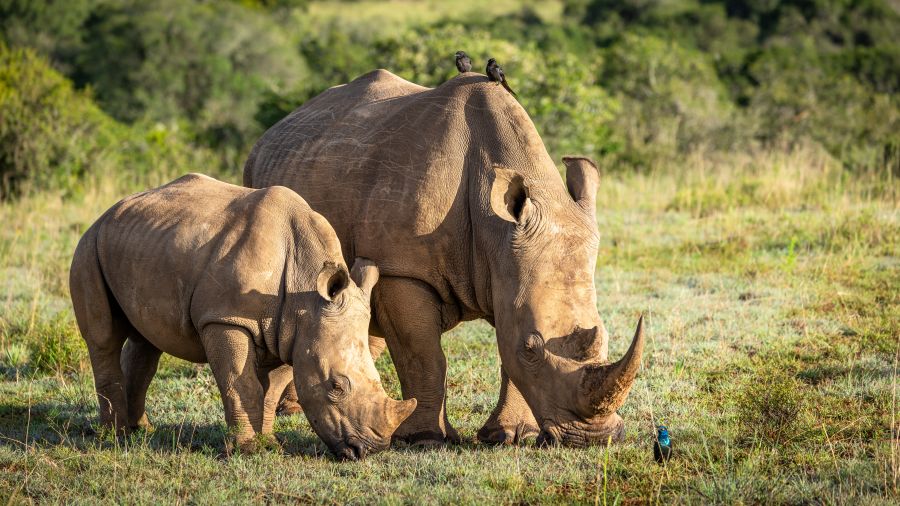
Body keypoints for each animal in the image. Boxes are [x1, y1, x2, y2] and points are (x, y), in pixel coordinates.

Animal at [69, 174, 416, 459]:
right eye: (336, 386)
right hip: (89, 245)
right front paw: (247, 449)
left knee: (146, 341)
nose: (370, 449)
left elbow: (271, 389)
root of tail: (110, 211)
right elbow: (240, 382)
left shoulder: (290, 330)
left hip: (141, 244)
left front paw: (270, 443)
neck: (306, 291)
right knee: (103, 338)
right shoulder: (226, 319)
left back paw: (141, 430)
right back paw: (115, 436)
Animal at [243, 71, 644, 447]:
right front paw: (425, 439)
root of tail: (271, 132)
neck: (496, 233)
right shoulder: (403, 270)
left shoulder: (507, 273)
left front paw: (513, 436)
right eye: (530, 348)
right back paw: (294, 411)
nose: (595, 438)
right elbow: (424, 356)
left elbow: (505, 353)